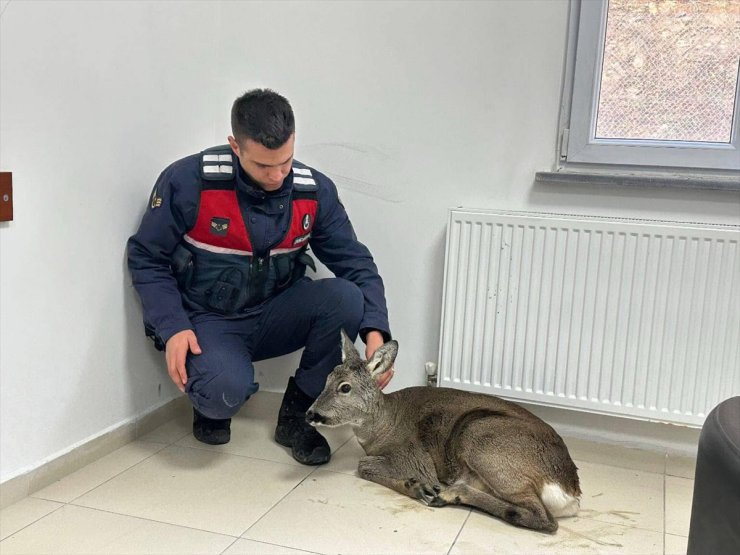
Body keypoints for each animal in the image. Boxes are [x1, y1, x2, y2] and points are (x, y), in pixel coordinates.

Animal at [306, 332, 584, 532]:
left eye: (345, 387)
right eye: (326, 379)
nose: (311, 413)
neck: (383, 427)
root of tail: (570, 488)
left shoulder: (416, 457)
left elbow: (363, 465)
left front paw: (417, 486)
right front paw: (414, 486)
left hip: (481, 437)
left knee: (545, 519)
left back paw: (450, 493)